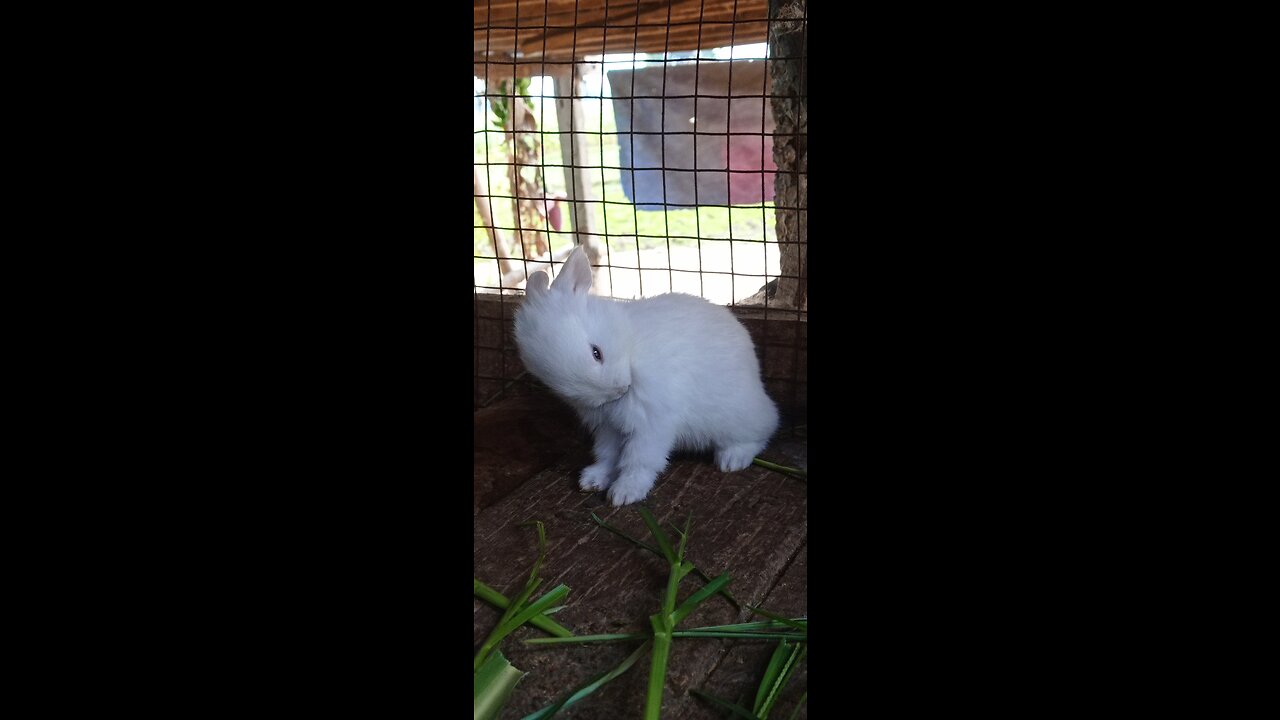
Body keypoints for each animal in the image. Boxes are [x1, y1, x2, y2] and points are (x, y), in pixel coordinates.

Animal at [514, 245, 779, 506]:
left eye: (596, 352)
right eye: (554, 381)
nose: (620, 390)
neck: (631, 348)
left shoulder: (652, 422)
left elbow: (639, 460)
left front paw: (624, 494)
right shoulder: (609, 426)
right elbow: (607, 456)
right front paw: (593, 479)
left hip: (736, 416)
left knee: (764, 429)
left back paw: (732, 460)